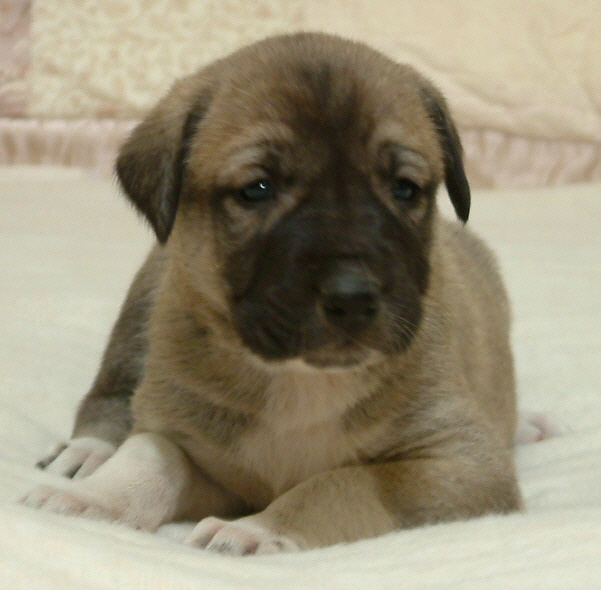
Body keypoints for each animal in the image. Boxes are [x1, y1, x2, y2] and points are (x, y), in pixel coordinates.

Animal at [24, 32, 520, 556]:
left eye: (404, 189)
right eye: (256, 189)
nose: (353, 297)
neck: (301, 380)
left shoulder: (459, 463)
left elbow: (340, 484)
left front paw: (258, 529)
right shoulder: (202, 453)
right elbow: (149, 454)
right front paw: (96, 498)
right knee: (112, 395)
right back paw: (87, 453)